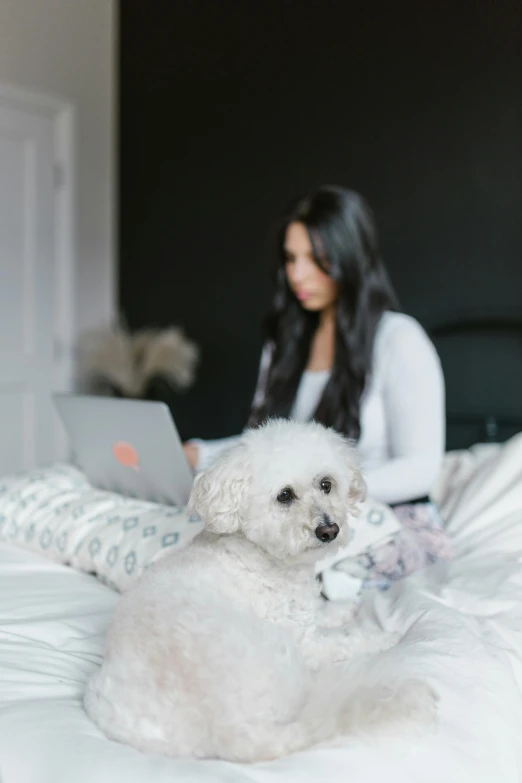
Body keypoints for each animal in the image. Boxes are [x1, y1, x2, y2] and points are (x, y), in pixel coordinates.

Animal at [85, 420, 434, 764]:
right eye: (284, 495)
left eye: (326, 484)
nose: (329, 529)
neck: (262, 555)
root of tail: (233, 729)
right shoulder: (307, 643)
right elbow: (347, 640)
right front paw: (383, 636)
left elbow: (321, 611)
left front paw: (341, 608)